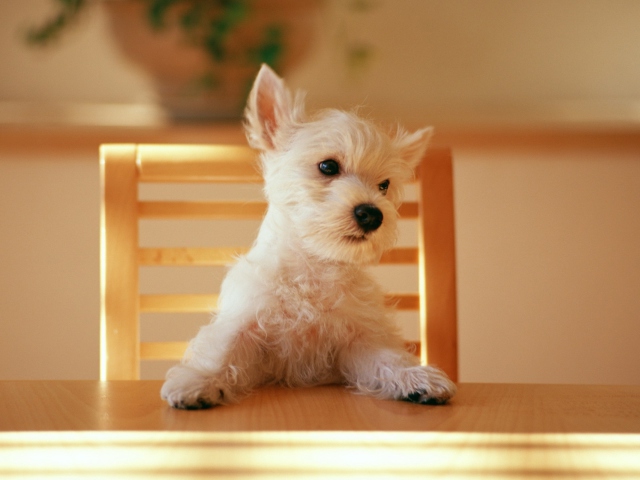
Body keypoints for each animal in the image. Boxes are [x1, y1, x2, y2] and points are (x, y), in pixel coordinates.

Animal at [162, 64, 458, 408]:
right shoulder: (246, 323)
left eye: (384, 185)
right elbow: (222, 350)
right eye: (328, 166)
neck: (313, 267)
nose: (373, 214)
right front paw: (198, 381)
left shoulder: (359, 341)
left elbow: (388, 359)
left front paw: (416, 378)